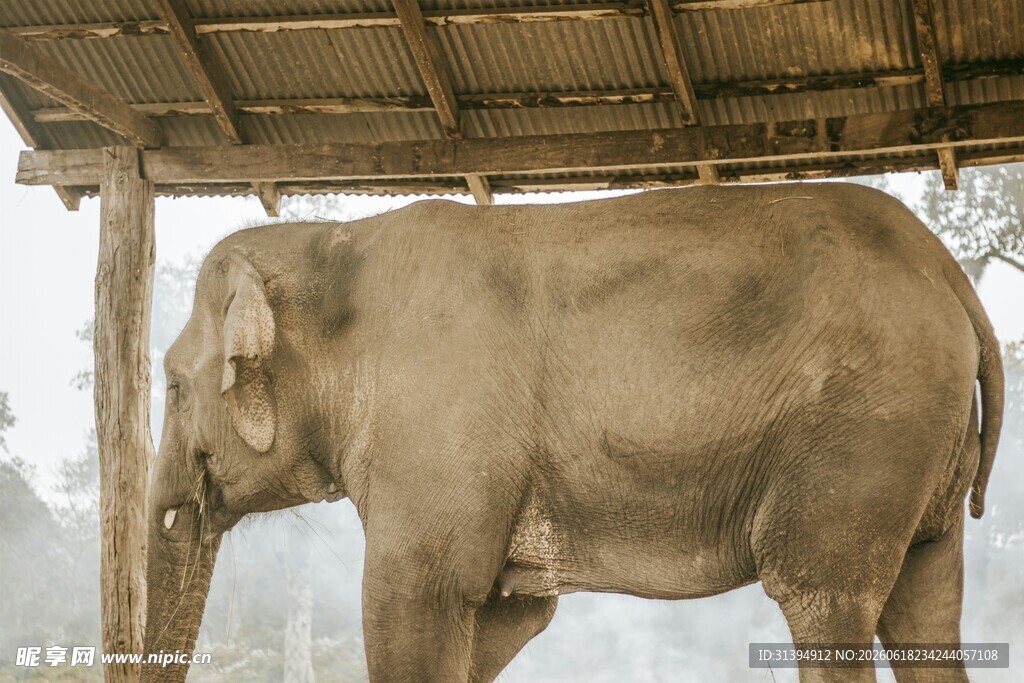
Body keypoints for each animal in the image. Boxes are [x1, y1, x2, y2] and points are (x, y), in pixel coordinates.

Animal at [141, 183, 1003, 682]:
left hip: (864, 431)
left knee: (823, 595)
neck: (338, 238)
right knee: (924, 606)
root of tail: (949, 271)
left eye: (174, 385)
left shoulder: (438, 427)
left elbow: (412, 601)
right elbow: (502, 619)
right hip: (920, 448)